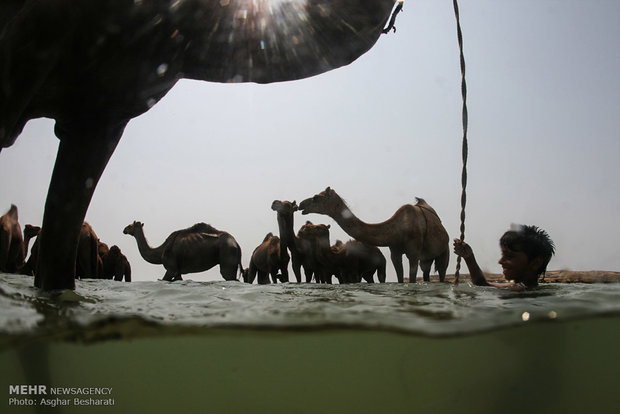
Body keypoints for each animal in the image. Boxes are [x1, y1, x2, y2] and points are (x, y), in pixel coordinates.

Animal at [298, 189, 448, 284]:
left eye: (316, 197)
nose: (300, 204)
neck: (399, 228)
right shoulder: (394, 251)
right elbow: (400, 276)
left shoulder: (413, 252)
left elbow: (411, 277)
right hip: (426, 257)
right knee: (426, 270)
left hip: (445, 247)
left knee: (442, 269)